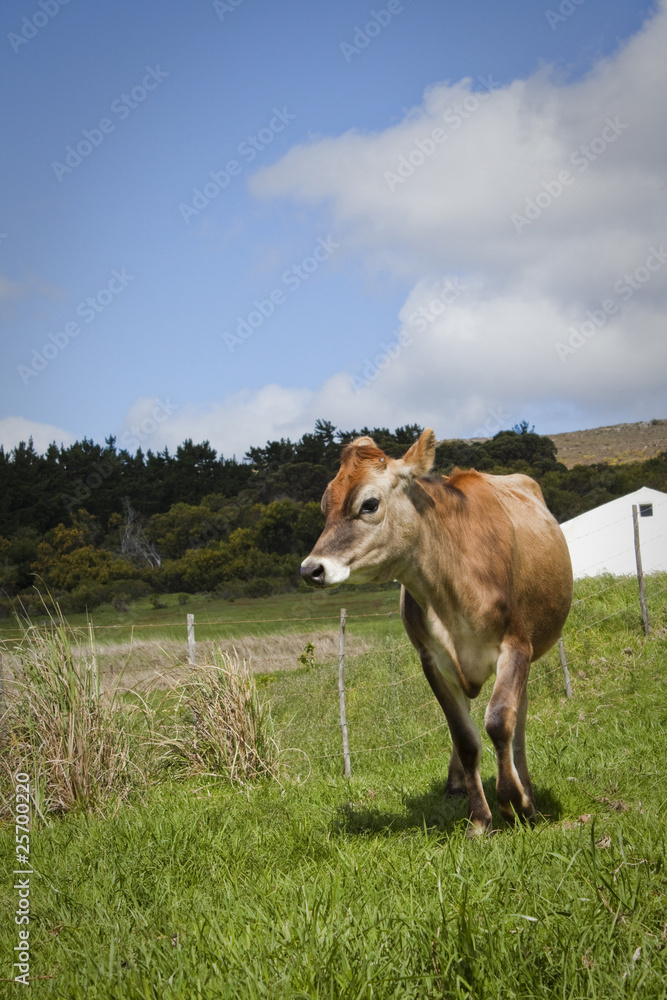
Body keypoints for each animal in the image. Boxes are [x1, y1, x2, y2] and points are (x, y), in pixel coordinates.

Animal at [300, 428, 573, 835]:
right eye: (324, 506)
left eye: (369, 504)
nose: (311, 569)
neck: (449, 590)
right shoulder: (432, 661)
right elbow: (464, 737)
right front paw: (480, 819)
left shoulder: (516, 646)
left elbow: (498, 722)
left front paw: (515, 803)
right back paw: (458, 784)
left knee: (516, 719)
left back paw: (525, 789)